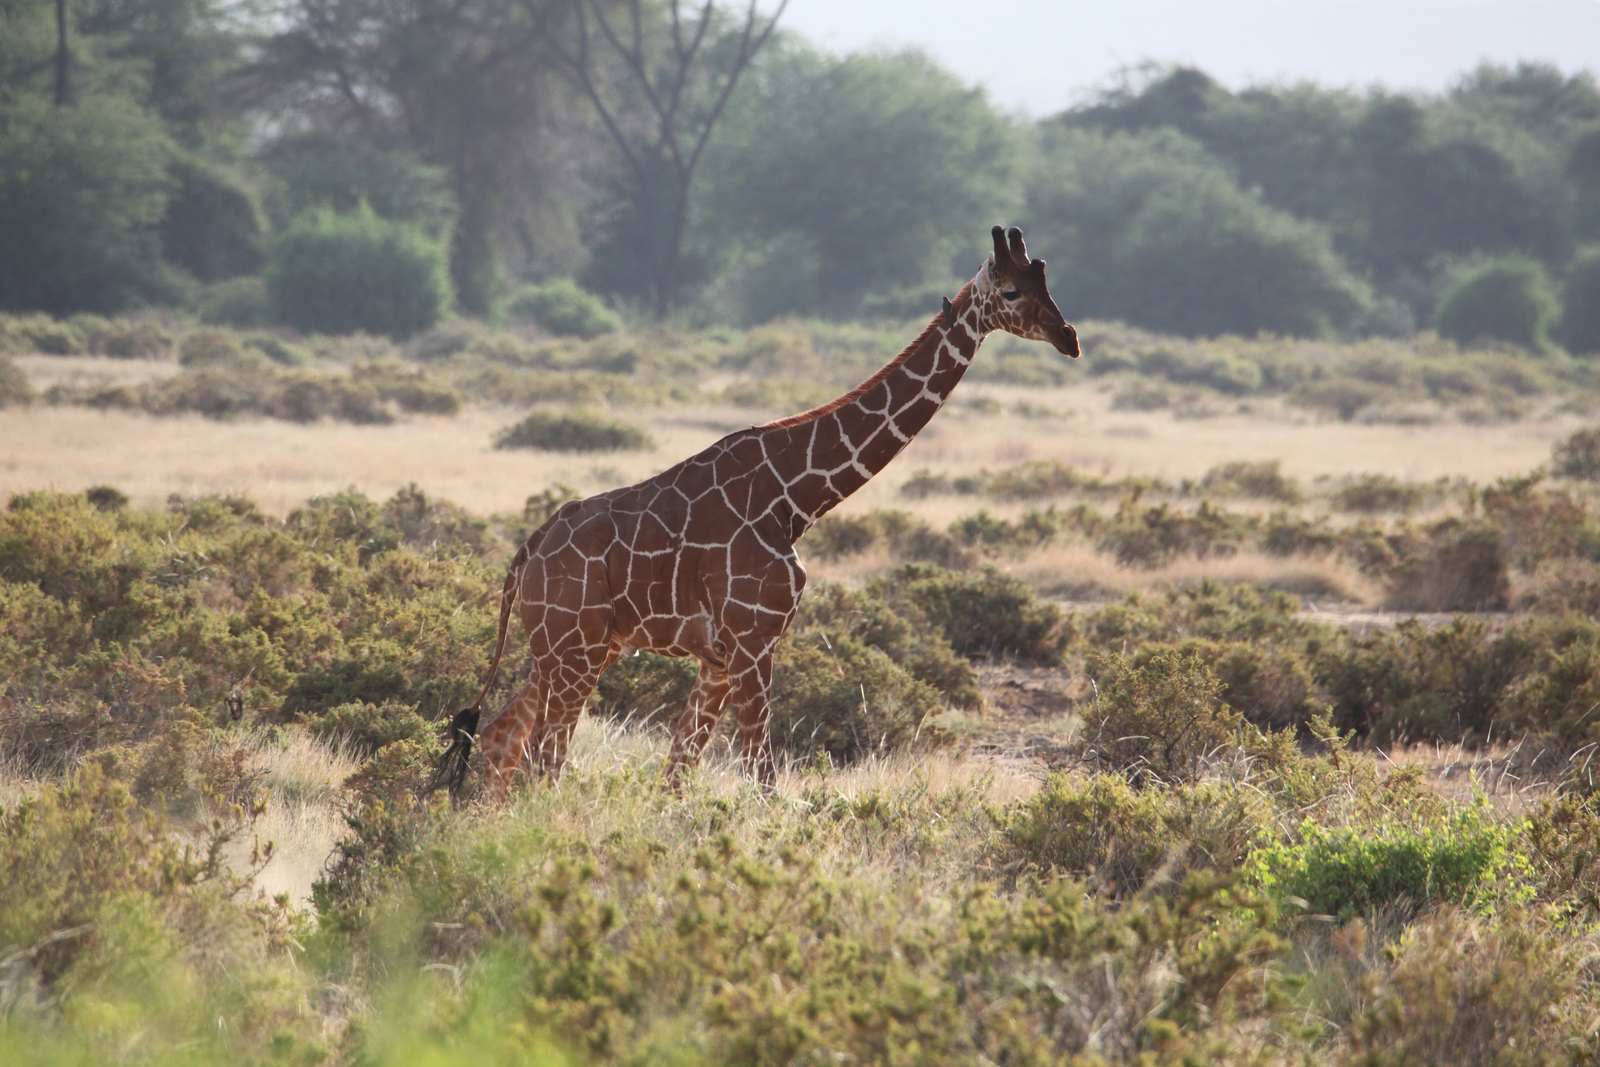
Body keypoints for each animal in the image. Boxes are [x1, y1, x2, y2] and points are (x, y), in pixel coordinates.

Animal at [428, 227, 1075, 799]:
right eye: (1012, 292)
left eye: (1046, 280)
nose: (1068, 337)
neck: (794, 499)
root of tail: (524, 554)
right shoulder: (753, 640)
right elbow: (760, 779)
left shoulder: (722, 656)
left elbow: (677, 774)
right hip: (574, 651)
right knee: (547, 760)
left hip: (570, 648)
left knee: (503, 737)